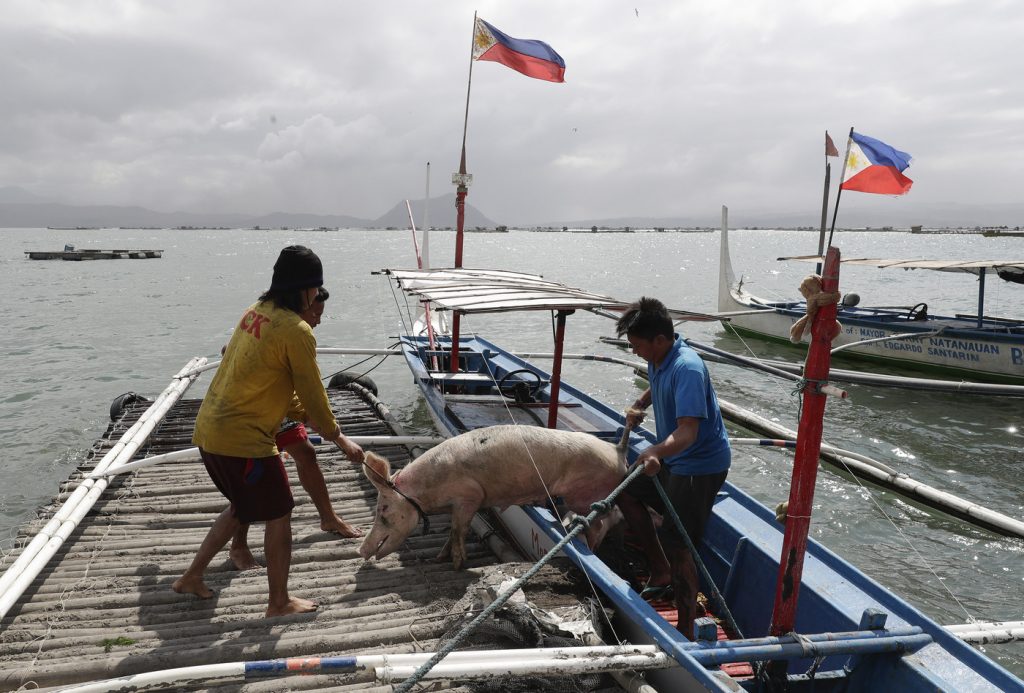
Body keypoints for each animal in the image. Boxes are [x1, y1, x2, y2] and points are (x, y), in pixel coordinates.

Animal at [360, 421, 630, 569]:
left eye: (383, 509)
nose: (361, 550)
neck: (427, 491)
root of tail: (617, 449)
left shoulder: (469, 496)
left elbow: (459, 530)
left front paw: (458, 564)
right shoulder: (468, 503)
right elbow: (452, 531)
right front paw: (439, 558)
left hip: (583, 493)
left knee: (603, 519)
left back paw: (590, 546)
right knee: (612, 513)